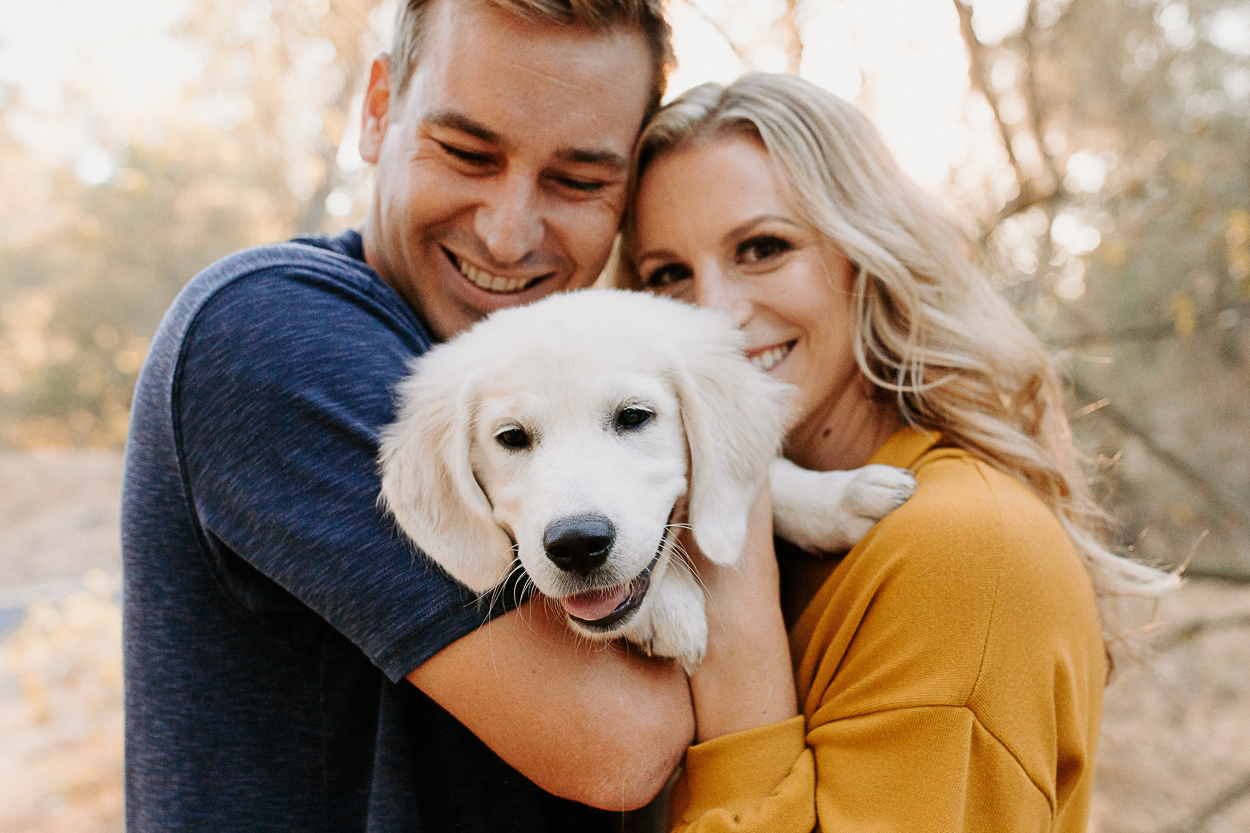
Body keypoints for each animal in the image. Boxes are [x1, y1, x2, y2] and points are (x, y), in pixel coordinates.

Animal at [375, 288, 915, 665]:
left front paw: (843, 499)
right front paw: (670, 609)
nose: (577, 545)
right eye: (511, 437)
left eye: (634, 417)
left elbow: (766, 479)